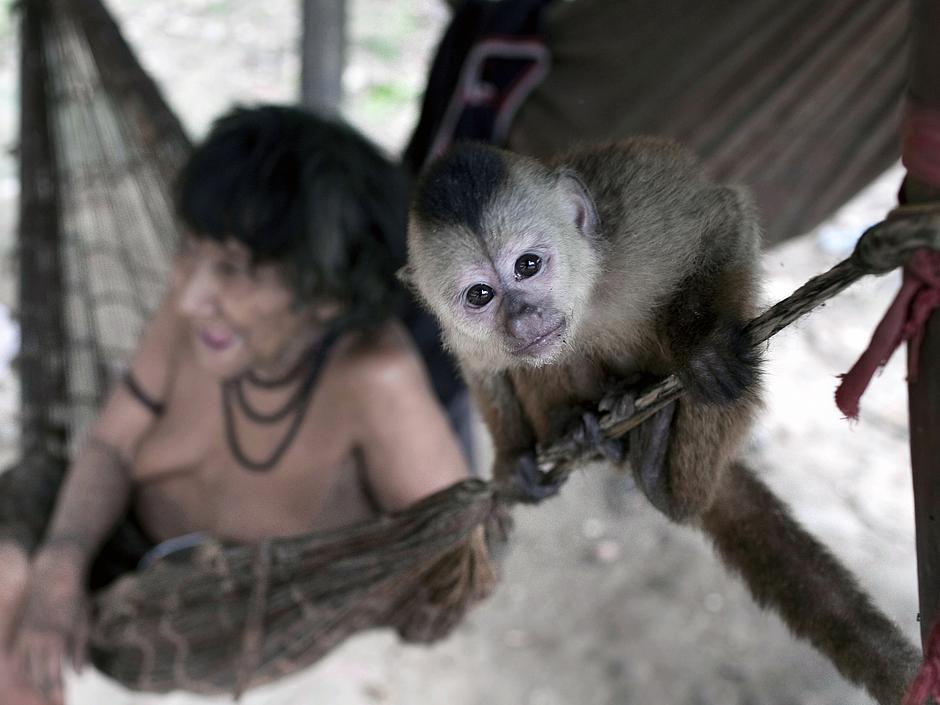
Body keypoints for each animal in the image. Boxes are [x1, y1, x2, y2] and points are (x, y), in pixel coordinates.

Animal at [404, 138, 916, 704]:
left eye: (528, 265)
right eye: (480, 295)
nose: (523, 317)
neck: (588, 293)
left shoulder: (637, 228)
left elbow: (724, 221)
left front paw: (703, 348)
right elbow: (482, 365)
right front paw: (513, 462)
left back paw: (674, 491)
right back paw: (584, 431)